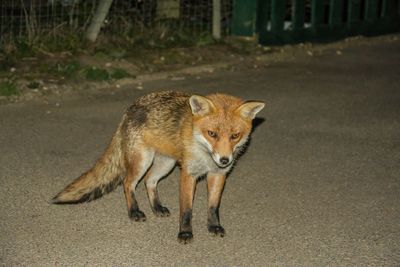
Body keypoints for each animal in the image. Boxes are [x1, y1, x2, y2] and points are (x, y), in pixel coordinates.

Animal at [53, 91, 266, 244]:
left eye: (235, 136)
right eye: (212, 133)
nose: (224, 160)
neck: (204, 154)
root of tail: (130, 108)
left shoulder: (218, 174)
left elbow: (213, 206)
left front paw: (214, 227)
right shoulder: (188, 173)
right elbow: (186, 209)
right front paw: (185, 233)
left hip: (166, 163)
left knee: (149, 181)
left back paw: (156, 207)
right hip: (142, 161)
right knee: (128, 183)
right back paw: (134, 212)